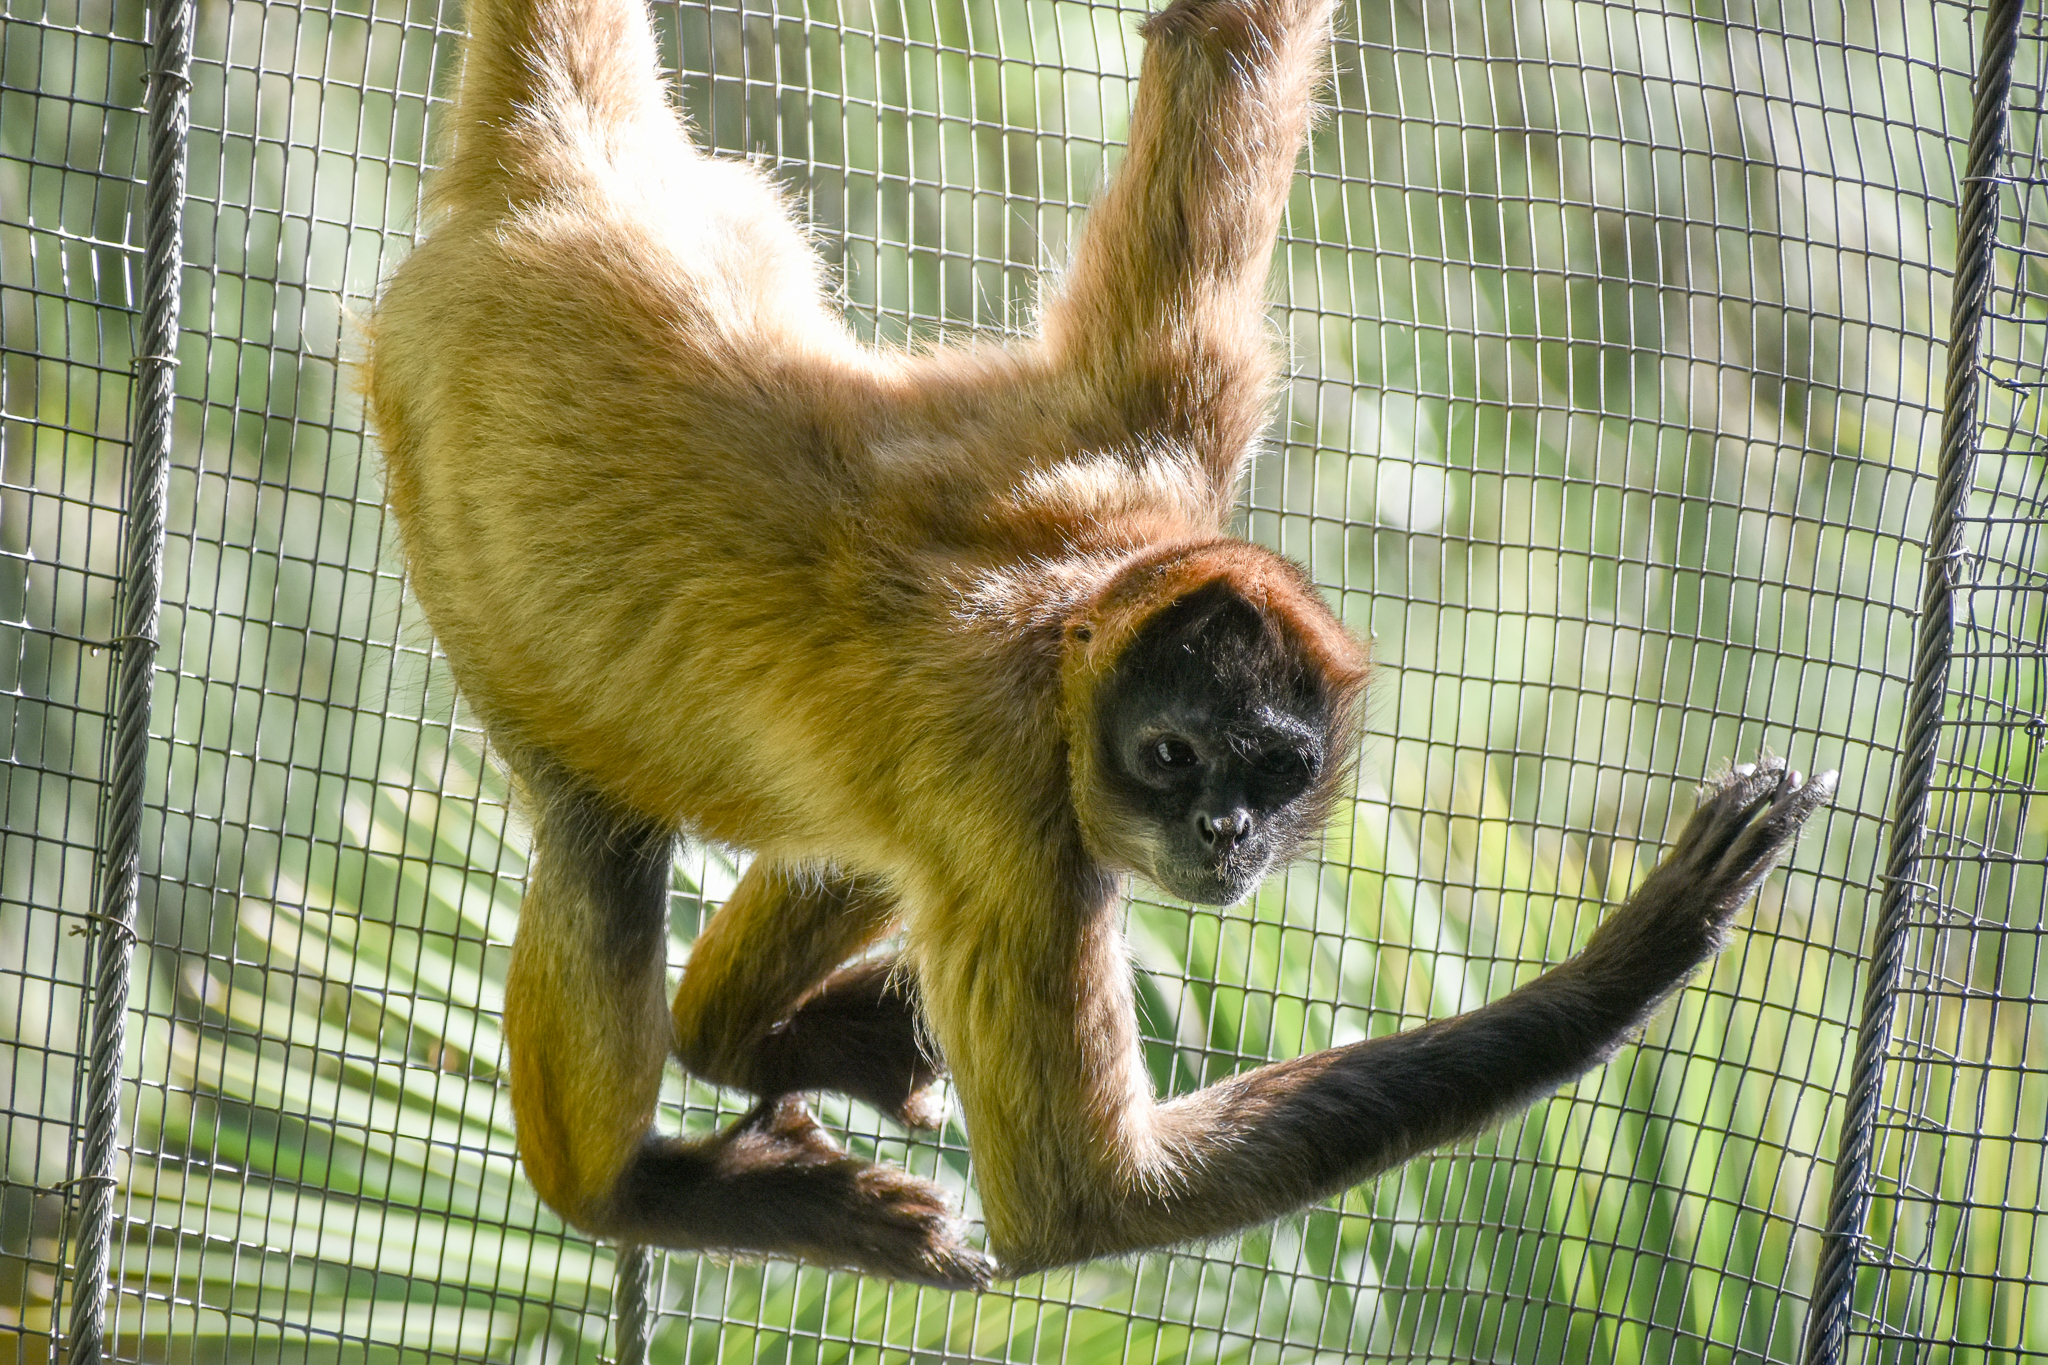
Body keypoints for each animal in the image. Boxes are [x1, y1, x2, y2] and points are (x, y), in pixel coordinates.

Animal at [364, 0, 1836, 1289]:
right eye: (1171, 755)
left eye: (1272, 764)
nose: (1224, 830)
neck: (1064, 630)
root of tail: (559, 179)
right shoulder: (1021, 798)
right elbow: (1083, 1204)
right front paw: (1646, 942)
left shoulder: (1157, 448)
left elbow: (1220, 45)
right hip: (466, 550)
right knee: (597, 844)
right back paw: (634, 1187)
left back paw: (731, 1031)